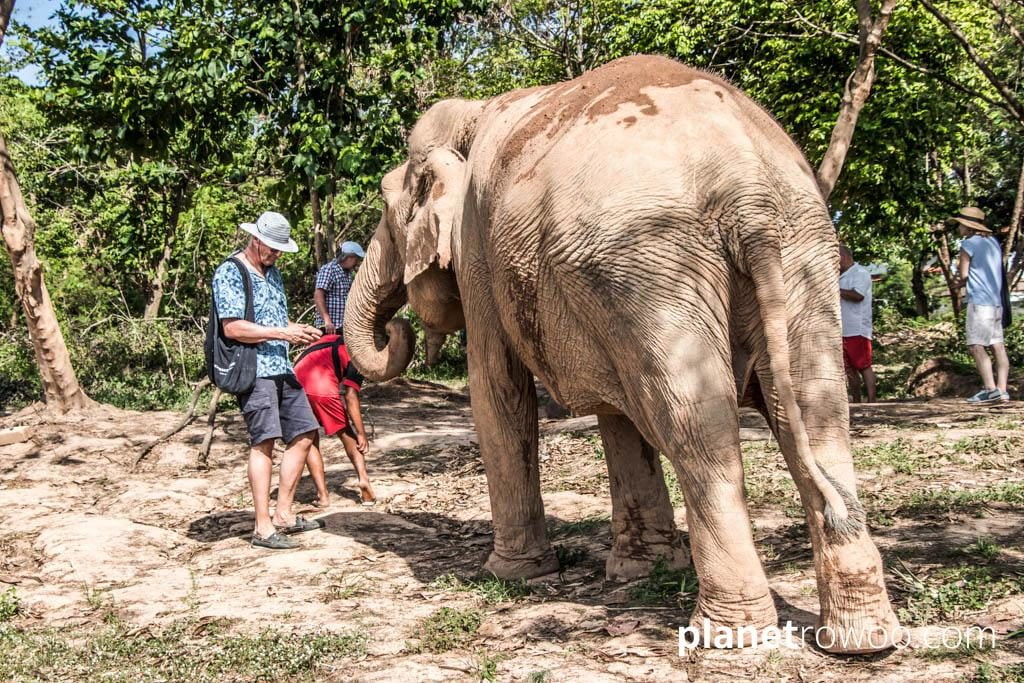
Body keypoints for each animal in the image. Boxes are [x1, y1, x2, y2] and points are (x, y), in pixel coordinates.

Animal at [344, 55, 902, 654]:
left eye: (387, 207)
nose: (396, 329)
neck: (472, 113)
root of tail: (747, 190)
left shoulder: (479, 251)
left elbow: (499, 390)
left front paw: (510, 575)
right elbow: (619, 414)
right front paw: (644, 570)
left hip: (652, 261)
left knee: (696, 428)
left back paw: (725, 636)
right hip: (791, 254)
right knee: (819, 412)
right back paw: (863, 639)